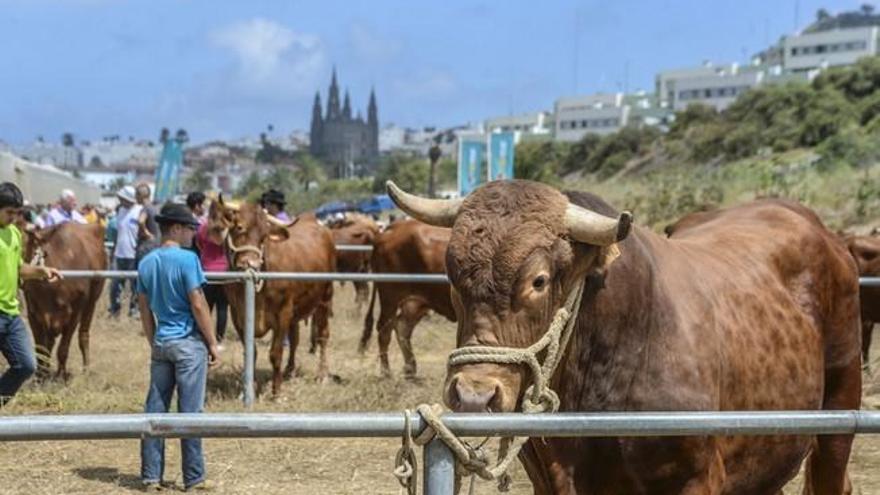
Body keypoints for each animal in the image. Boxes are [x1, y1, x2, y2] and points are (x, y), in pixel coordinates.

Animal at [20, 223, 106, 382]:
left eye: (23, 249)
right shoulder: (33, 312)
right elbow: (40, 348)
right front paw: (40, 376)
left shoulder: (75, 313)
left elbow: (63, 348)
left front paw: (60, 375)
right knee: (50, 342)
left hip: (92, 302)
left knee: (83, 335)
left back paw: (86, 370)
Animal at [215, 200, 336, 398]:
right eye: (239, 227)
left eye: (264, 236)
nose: (251, 264)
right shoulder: (238, 316)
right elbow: (251, 352)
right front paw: (248, 389)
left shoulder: (283, 314)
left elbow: (275, 353)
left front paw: (276, 391)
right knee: (294, 339)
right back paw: (289, 370)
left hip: (325, 298)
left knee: (323, 336)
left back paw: (322, 374)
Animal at [358, 219, 454, 378]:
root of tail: (392, 228)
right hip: (390, 298)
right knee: (385, 329)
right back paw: (386, 372)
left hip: (415, 302)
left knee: (402, 327)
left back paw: (410, 368)